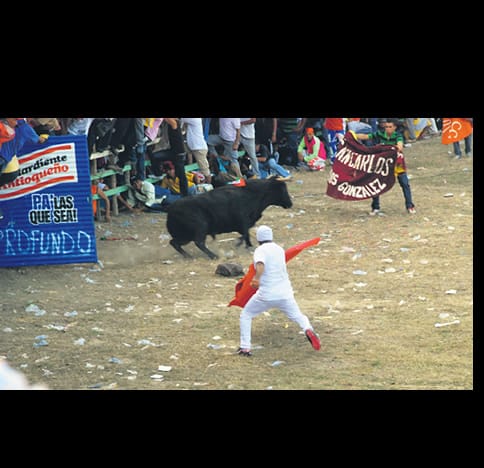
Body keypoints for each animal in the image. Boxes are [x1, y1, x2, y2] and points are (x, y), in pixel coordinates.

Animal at [166, 178, 294, 260]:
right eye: (282, 190)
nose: (290, 203)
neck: (252, 193)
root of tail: (171, 209)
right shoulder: (243, 221)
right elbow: (245, 234)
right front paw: (239, 244)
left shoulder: (245, 223)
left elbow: (246, 235)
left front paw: (249, 246)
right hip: (200, 227)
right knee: (199, 242)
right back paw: (213, 256)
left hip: (184, 235)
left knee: (174, 242)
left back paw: (188, 256)